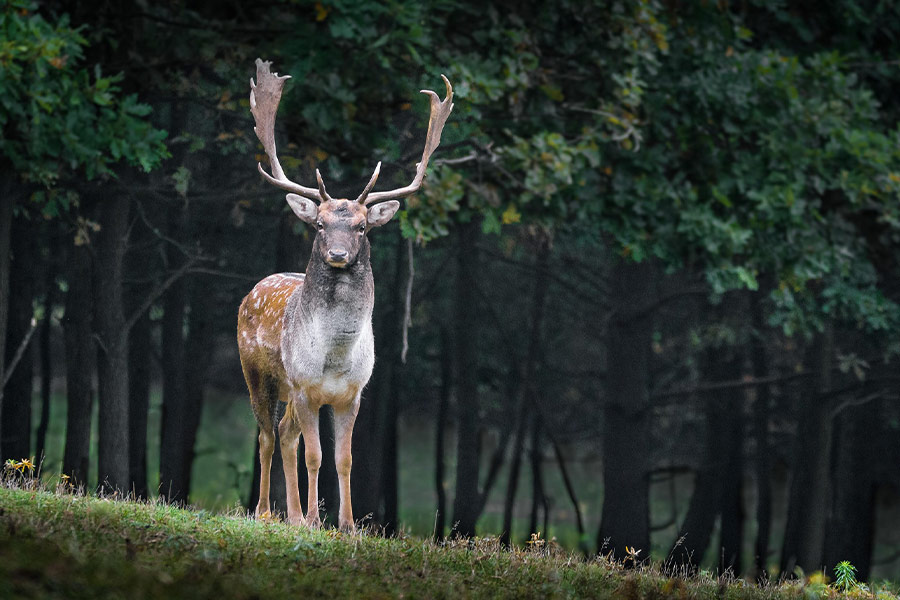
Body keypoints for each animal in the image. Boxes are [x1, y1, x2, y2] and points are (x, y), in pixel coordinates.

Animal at [238, 59, 453, 531]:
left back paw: (292, 515)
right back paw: (266, 512)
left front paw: (348, 524)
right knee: (266, 436)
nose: (337, 254)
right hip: (257, 374)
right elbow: (315, 456)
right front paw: (316, 521)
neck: (335, 357)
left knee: (284, 435)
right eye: (319, 224)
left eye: (362, 226)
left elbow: (345, 458)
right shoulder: (304, 387)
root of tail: (252, 291)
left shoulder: (353, 394)